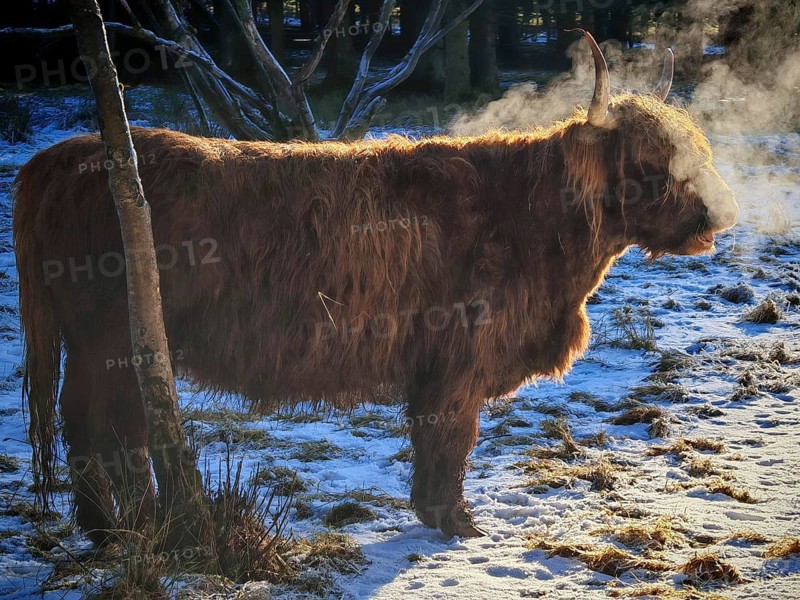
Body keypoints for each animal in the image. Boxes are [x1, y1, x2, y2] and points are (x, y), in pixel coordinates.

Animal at [12, 31, 738, 543]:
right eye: (650, 163)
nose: (718, 217)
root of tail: (65, 155)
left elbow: (432, 440)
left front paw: (432, 514)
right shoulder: (459, 358)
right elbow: (453, 438)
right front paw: (457, 523)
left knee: (94, 423)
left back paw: (108, 524)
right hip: (112, 340)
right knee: (100, 425)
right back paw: (115, 528)